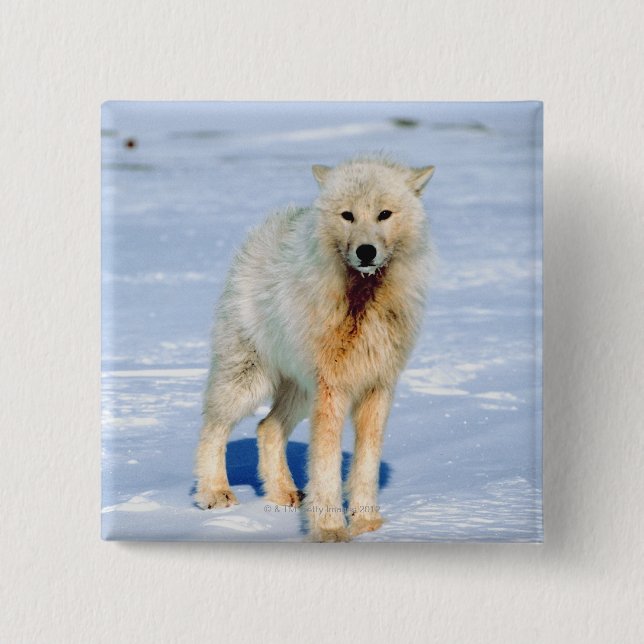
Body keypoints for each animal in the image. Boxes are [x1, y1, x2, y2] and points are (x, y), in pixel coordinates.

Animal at [194, 157, 435, 542]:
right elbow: (325, 466)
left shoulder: (378, 387)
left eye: (384, 214)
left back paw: (282, 494)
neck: (361, 303)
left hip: (300, 392)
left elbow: (366, 464)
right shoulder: (332, 390)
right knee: (212, 427)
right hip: (250, 382)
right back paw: (214, 493)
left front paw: (367, 525)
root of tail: (265, 229)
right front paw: (330, 530)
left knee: (267, 428)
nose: (366, 252)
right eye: (347, 215)